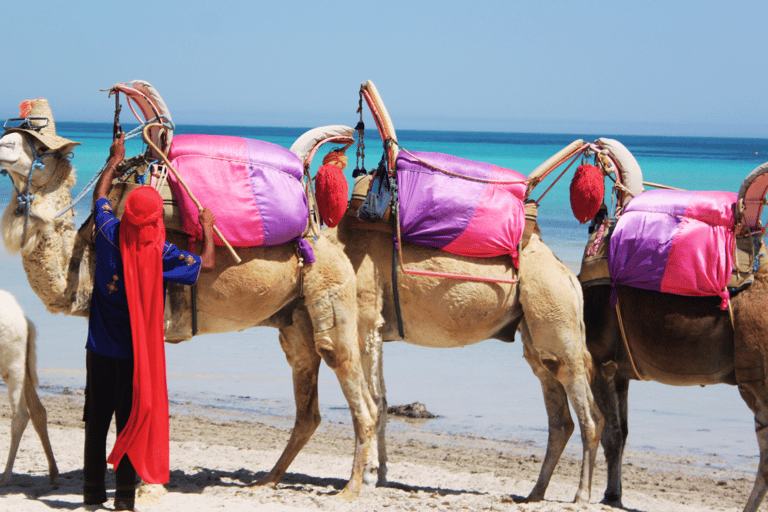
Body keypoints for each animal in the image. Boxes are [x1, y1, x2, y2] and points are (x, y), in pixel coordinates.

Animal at [0, 289, 58, 486]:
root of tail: (25, 319)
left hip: (12, 364)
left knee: (21, 415)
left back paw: (5, 478)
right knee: (38, 411)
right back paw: (53, 473)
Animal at [571, 139, 768, 512]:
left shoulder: (601, 362)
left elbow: (611, 433)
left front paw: (605, 494)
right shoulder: (620, 368)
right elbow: (622, 433)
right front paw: (613, 495)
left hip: (756, 378)